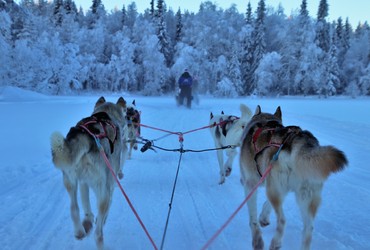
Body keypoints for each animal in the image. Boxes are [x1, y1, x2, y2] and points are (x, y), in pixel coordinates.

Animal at [50, 95, 129, 248]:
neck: (105, 114)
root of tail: (87, 136)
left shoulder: (83, 182)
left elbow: (85, 204)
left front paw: (88, 219)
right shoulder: (110, 185)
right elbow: (106, 209)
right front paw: (101, 219)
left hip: (69, 181)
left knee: (74, 209)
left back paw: (80, 231)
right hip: (102, 190)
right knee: (98, 234)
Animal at [240, 105, 346, 250]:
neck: (264, 121)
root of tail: (299, 142)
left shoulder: (251, 184)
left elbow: (253, 219)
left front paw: (257, 240)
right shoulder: (278, 187)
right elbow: (266, 205)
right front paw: (263, 218)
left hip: (275, 191)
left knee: (282, 220)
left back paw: (275, 242)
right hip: (304, 196)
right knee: (308, 228)